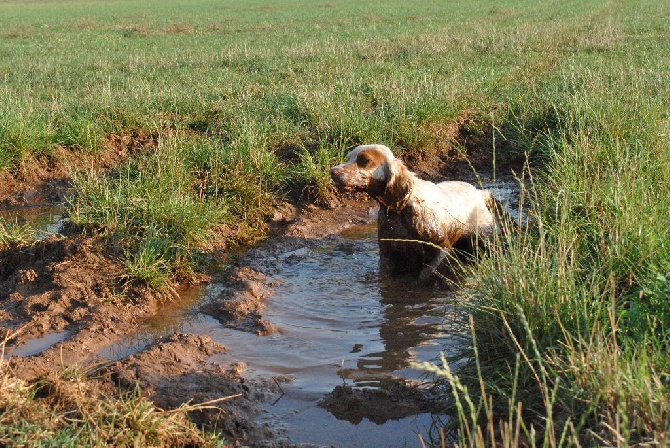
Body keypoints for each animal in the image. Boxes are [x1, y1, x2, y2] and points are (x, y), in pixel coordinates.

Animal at [330, 145, 504, 282]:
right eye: (348, 157)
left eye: (364, 159)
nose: (332, 171)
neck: (400, 209)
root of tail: (479, 192)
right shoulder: (387, 255)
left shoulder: (441, 248)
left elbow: (425, 275)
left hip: (484, 237)